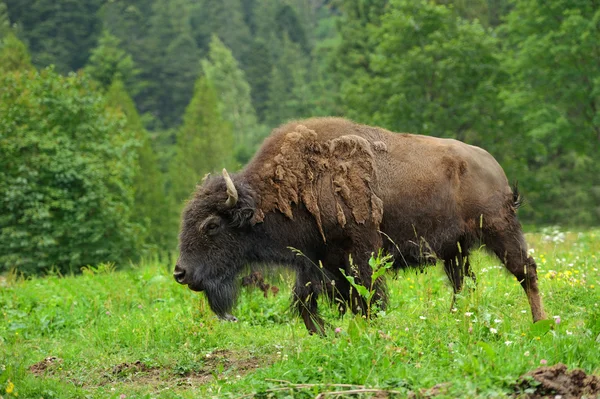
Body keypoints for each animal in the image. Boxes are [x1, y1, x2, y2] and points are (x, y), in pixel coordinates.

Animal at [172, 118, 544, 334]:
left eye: (211, 226)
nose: (180, 272)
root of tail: (493, 166)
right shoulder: (317, 262)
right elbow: (307, 304)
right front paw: (326, 333)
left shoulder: (359, 254)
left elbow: (367, 298)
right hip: (456, 250)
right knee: (462, 284)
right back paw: (459, 320)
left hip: (500, 230)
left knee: (526, 271)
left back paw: (540, 322)